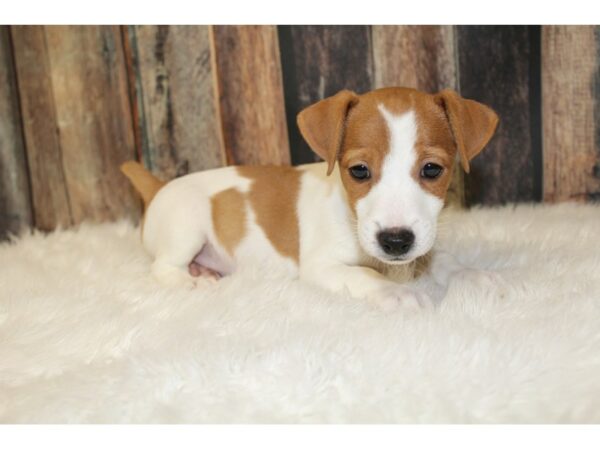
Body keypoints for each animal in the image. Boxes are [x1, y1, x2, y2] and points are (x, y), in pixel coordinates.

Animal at [120, 87, 496, 310]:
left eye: (432, 169)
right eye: (359, 171)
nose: (395, 241)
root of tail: (157, 187)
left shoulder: (422, 245)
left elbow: (440, 258)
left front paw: (472, 274)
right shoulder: (321, 266)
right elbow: (365, 275)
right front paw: (397, 292)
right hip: (186, 225)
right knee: (162, 267)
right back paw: (195, 282)